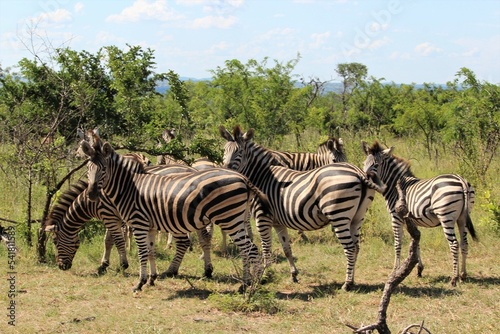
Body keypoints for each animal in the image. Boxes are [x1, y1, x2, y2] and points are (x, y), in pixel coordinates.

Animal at [78, 137, 266, 290]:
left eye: (103, 168)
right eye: (88, 167)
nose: (91, 194)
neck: (129, 188)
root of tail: (243, 178)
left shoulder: (138, 223)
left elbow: (141, 252)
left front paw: (139, 282)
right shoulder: (150, 226)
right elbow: (151, 251)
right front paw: (151, 279)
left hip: (229, 218)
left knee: (250, 249)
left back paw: (253, 285)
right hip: (238, 219)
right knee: (246, 249)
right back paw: (245, 284)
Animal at [220, 125, 386, 290]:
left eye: (240, 152)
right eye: (224, 150)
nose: (226, 169)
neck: (262, 177)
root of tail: (358, 173)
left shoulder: (263, 218)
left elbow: (266, 250)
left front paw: (265, 275)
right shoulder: (278, 222)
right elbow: (287, 249)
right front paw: (293, 274)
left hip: (339, 215)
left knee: (350, 248)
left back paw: (347, 283)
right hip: (357, 217)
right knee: (356, 247)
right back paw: (353, 280)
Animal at [364, 140, 476, 286]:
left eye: (376, 165)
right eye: (364, 163)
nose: (364, 179)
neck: (395, 186)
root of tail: (460, 180)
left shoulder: (396, 217)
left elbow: (397, 243)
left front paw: (395, 270)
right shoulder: (412, 220)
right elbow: (416, 243)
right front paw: (419, 268)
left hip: (446, 217)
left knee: (454, 244)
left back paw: (454, 278)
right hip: (462, 218)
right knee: (464, 243)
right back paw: (463, 275)